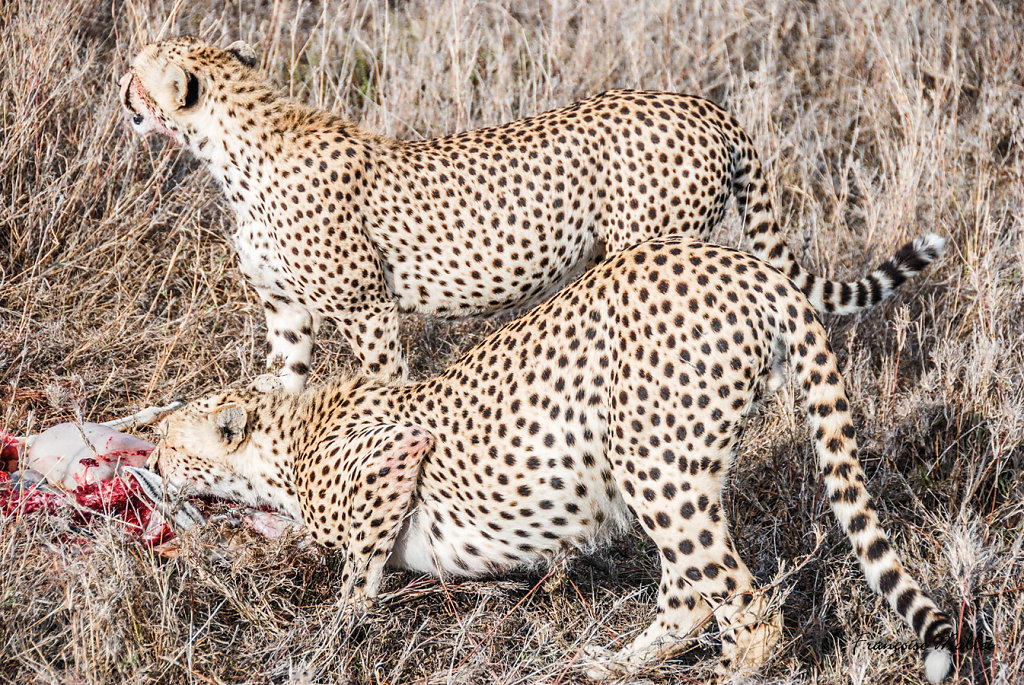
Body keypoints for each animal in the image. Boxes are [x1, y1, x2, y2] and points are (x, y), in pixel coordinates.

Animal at [119, 36, 942, 389]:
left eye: (136, 75)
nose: (120, 97)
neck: (232, 152)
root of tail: (702, 104)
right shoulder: (285, 308)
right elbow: (284, 384)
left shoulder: (367, 309)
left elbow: (383, 384)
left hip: (655, 255)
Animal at [155, 237, 954, 679]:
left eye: (166, 443)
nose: (152, 464)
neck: (289, 436)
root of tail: (746, 265)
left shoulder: (394, 456)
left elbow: (358, 572)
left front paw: (322, 639)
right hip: (680, 468)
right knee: (693, 593)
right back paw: (615, 665)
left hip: (650, 458)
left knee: (745, 603)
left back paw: (723, 675)